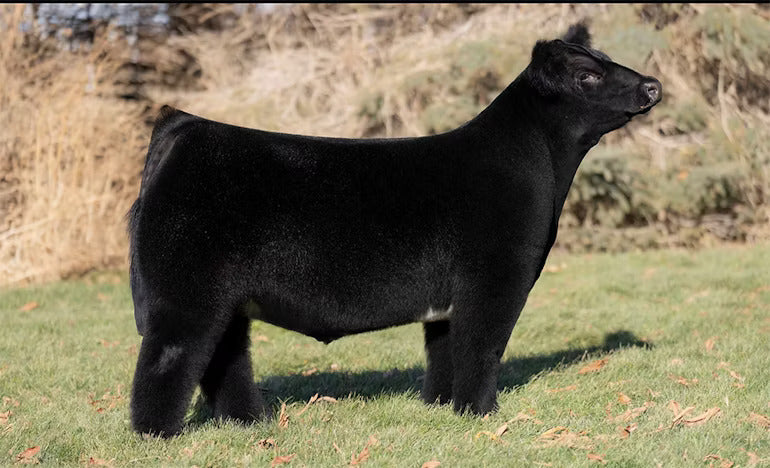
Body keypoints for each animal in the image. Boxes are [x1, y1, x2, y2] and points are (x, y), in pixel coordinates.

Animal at [127, 22, 661, 437]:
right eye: (588, 75)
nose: (653, 86)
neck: (540, 167)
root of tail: (185, 126)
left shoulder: (448, 300)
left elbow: (446, 352)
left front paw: (444, 407)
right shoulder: (495, 278)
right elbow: (482, 346)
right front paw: (481, 413)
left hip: (228, 300)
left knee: (225, 358)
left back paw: (247, 422)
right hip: (187, 293)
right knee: (168, 357)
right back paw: (157, 434)